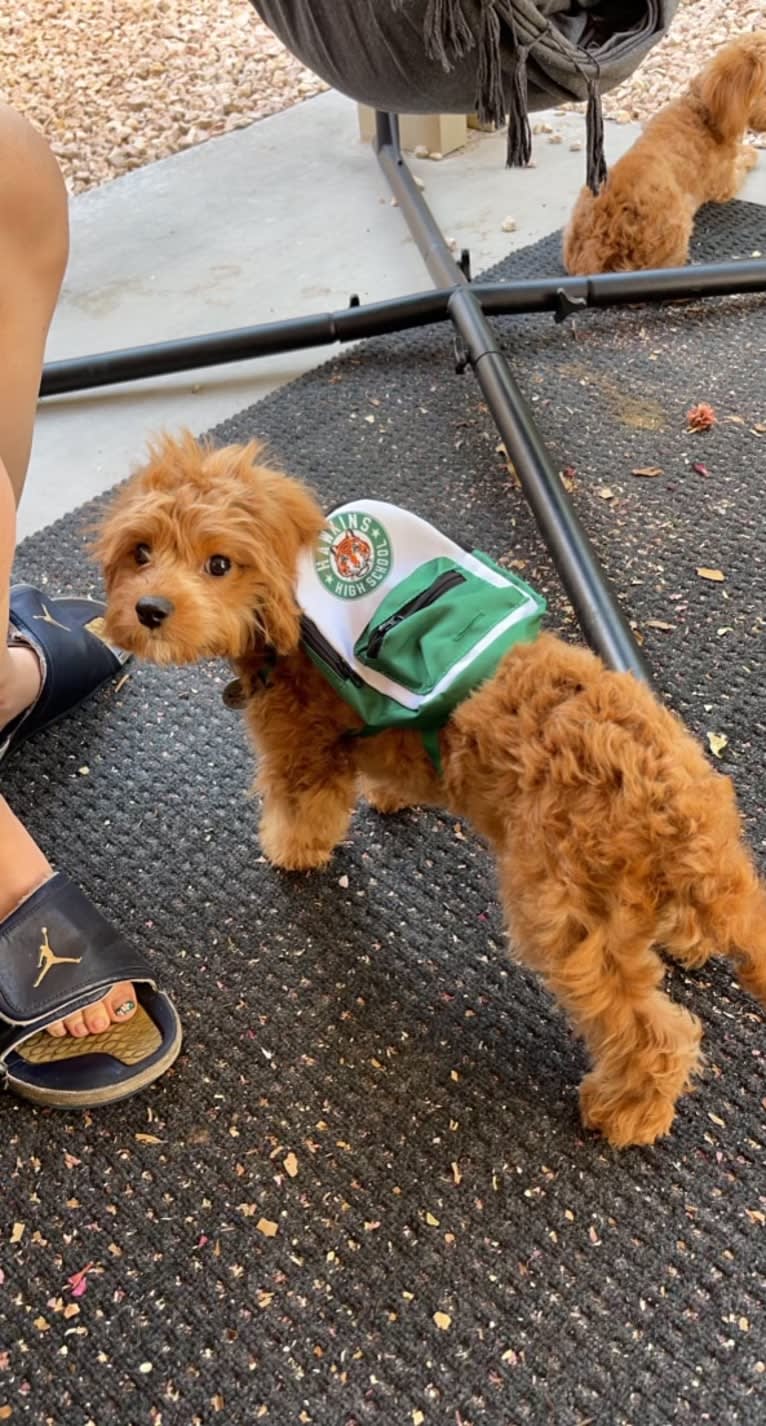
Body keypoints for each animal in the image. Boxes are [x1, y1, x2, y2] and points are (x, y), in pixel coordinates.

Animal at [95, 430, 764, 1146]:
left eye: (219, 564)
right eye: (141, 552)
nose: (149, 610)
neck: (289, 610)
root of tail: (685, 822)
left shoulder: (304, 749)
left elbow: (304, 810)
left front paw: (290, 851)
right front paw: (389, 799)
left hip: (568, 923)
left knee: (653, 1032)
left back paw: (628, 1110)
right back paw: (687, 940)